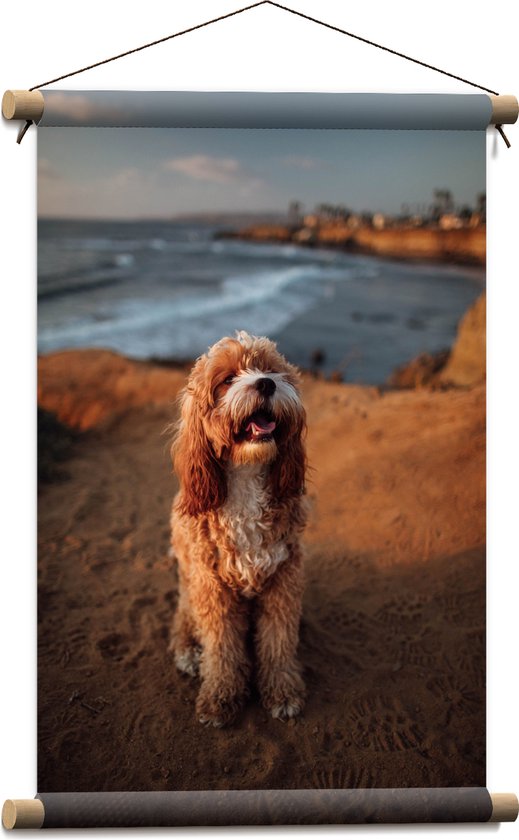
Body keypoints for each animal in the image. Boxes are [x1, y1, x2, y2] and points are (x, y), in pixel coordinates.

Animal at [171, 332, 308, 724]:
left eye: (270, 370)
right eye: (228, 379)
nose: (265, 384)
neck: (246, 476)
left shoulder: (284, 579)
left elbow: (278, 640)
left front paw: (283, 691)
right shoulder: (212, 586)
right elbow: (221, 647)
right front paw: (220, 695)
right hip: (190, 587)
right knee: (182, 622)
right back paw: (189, 653)